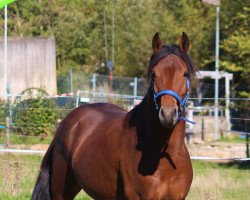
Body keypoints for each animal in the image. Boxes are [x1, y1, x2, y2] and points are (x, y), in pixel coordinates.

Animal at [31, 32, 195, 199]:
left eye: (185, 74)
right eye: (154, 74)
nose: (167, 114)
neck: (164, 155)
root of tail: (67, 122)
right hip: (61, 189)